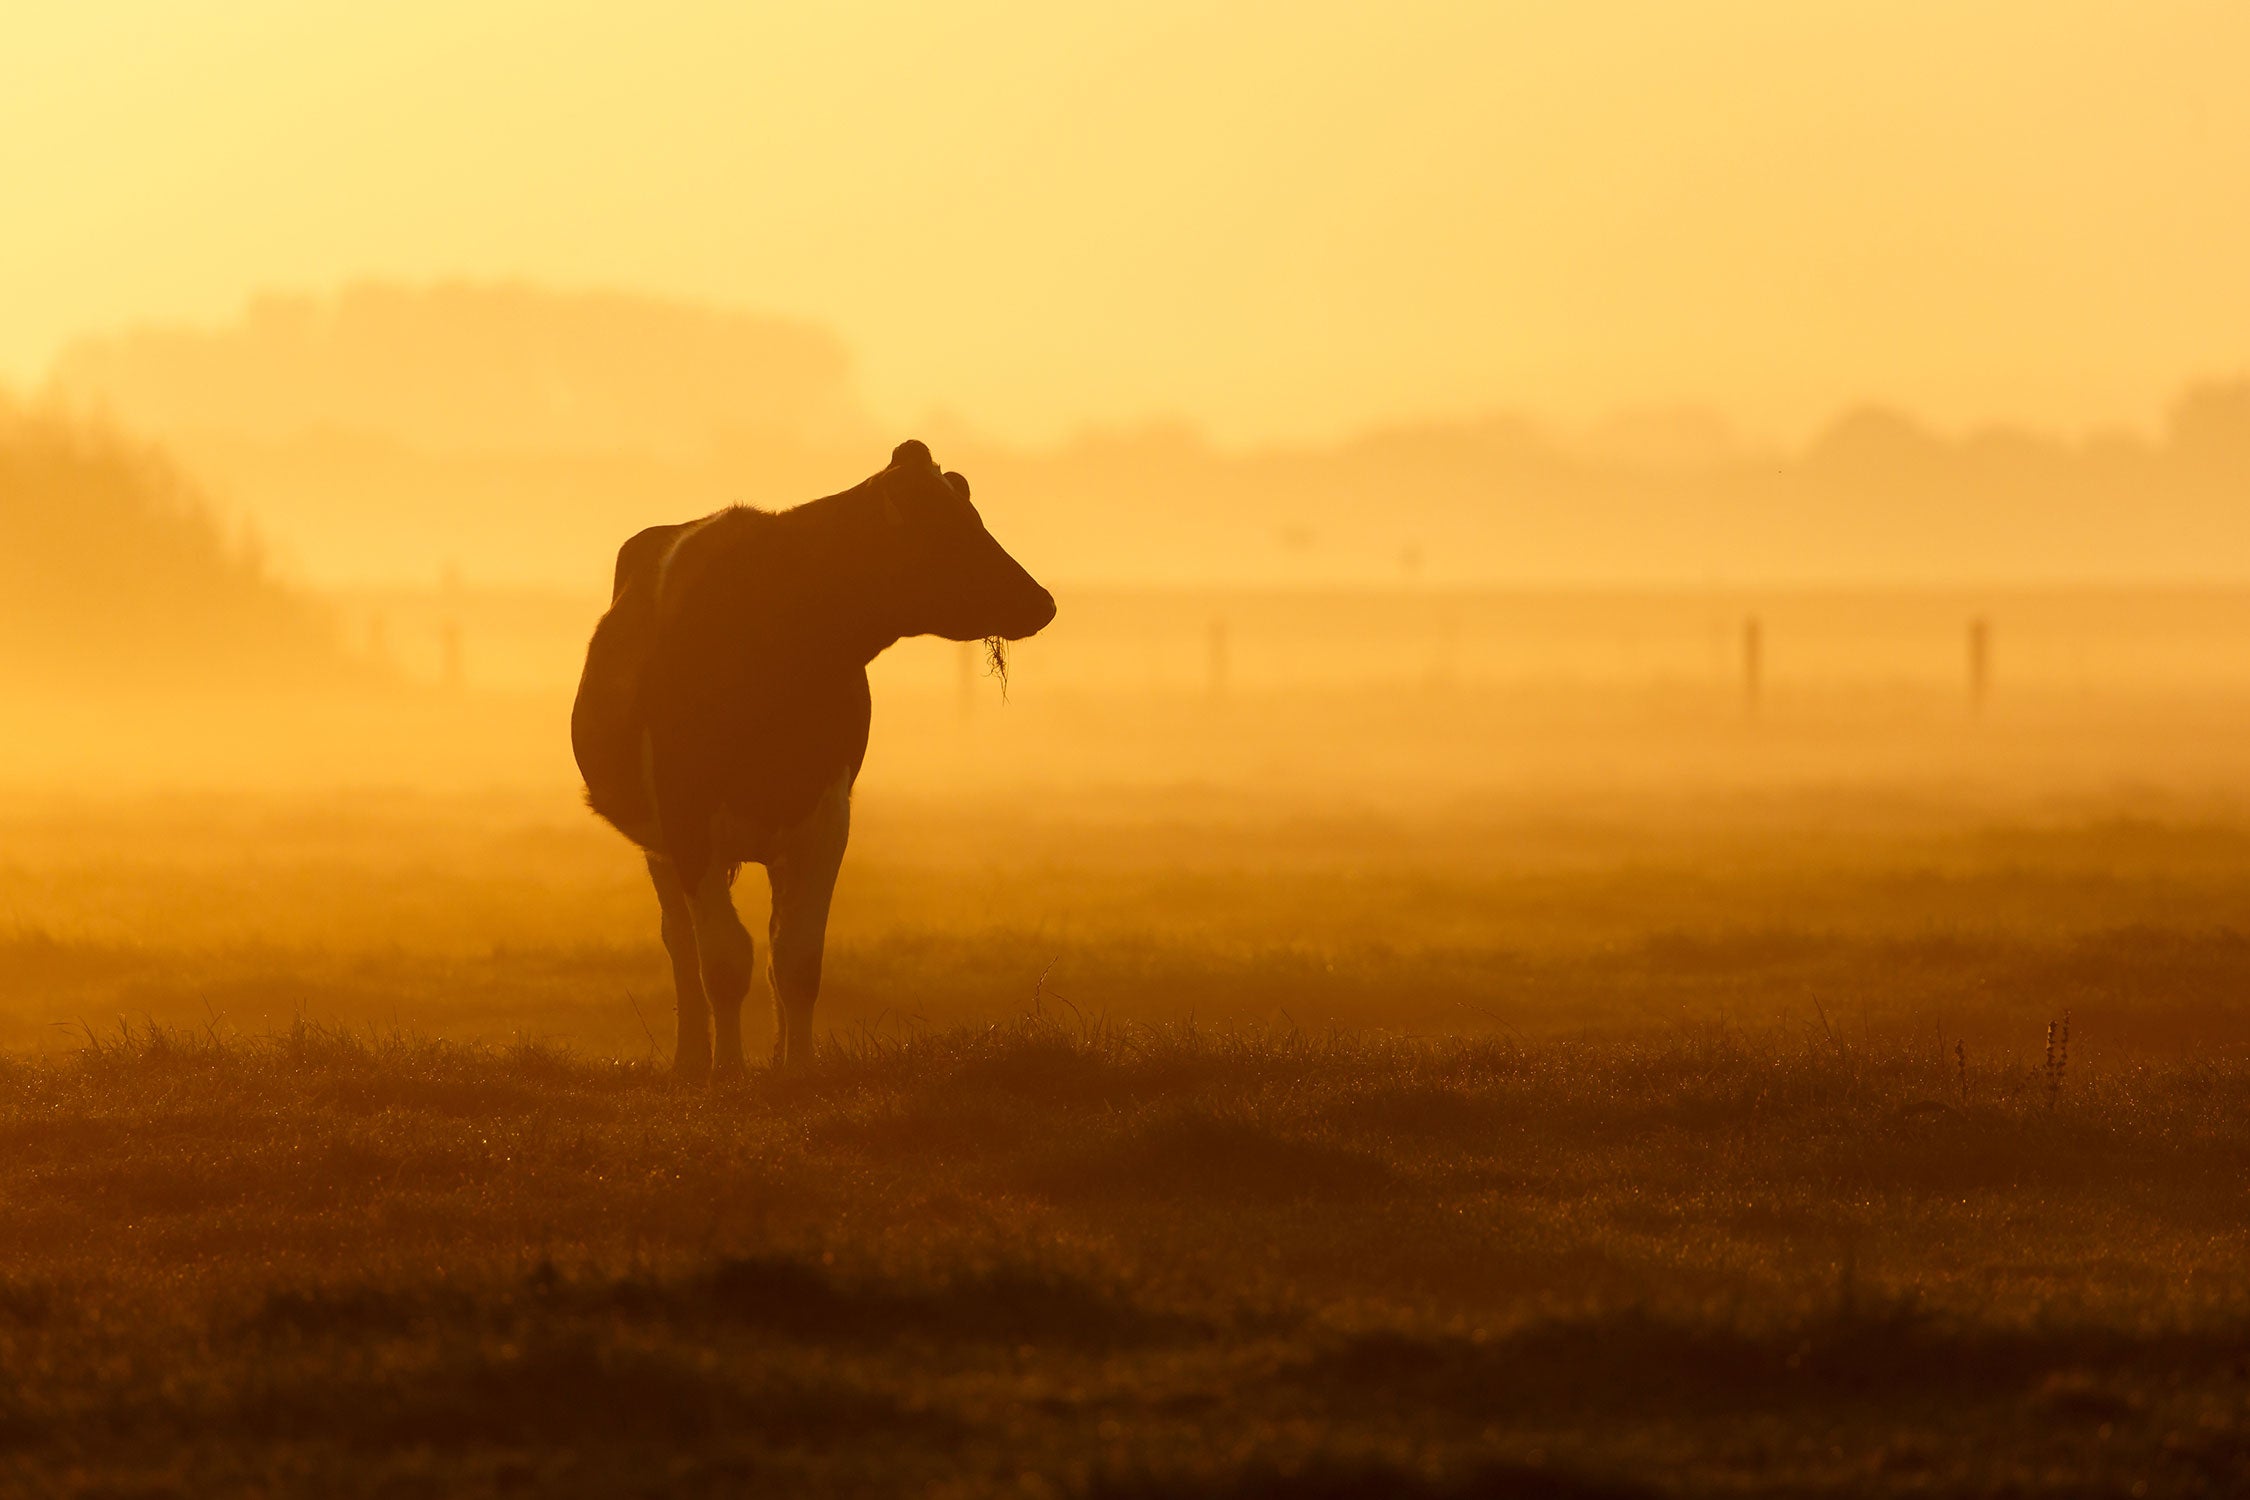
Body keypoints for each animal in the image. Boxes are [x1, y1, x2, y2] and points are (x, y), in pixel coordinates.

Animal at [562, 443, 1053, 1079]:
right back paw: (692, 1057)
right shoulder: (686, 816)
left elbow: (796, 958)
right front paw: (728, 1070)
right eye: (948, 529)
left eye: (974, 517)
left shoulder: (825, 813)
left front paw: (796, 1068)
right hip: (660, 845)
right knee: (681, 943)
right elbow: (723, 960)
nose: (1041, 602)